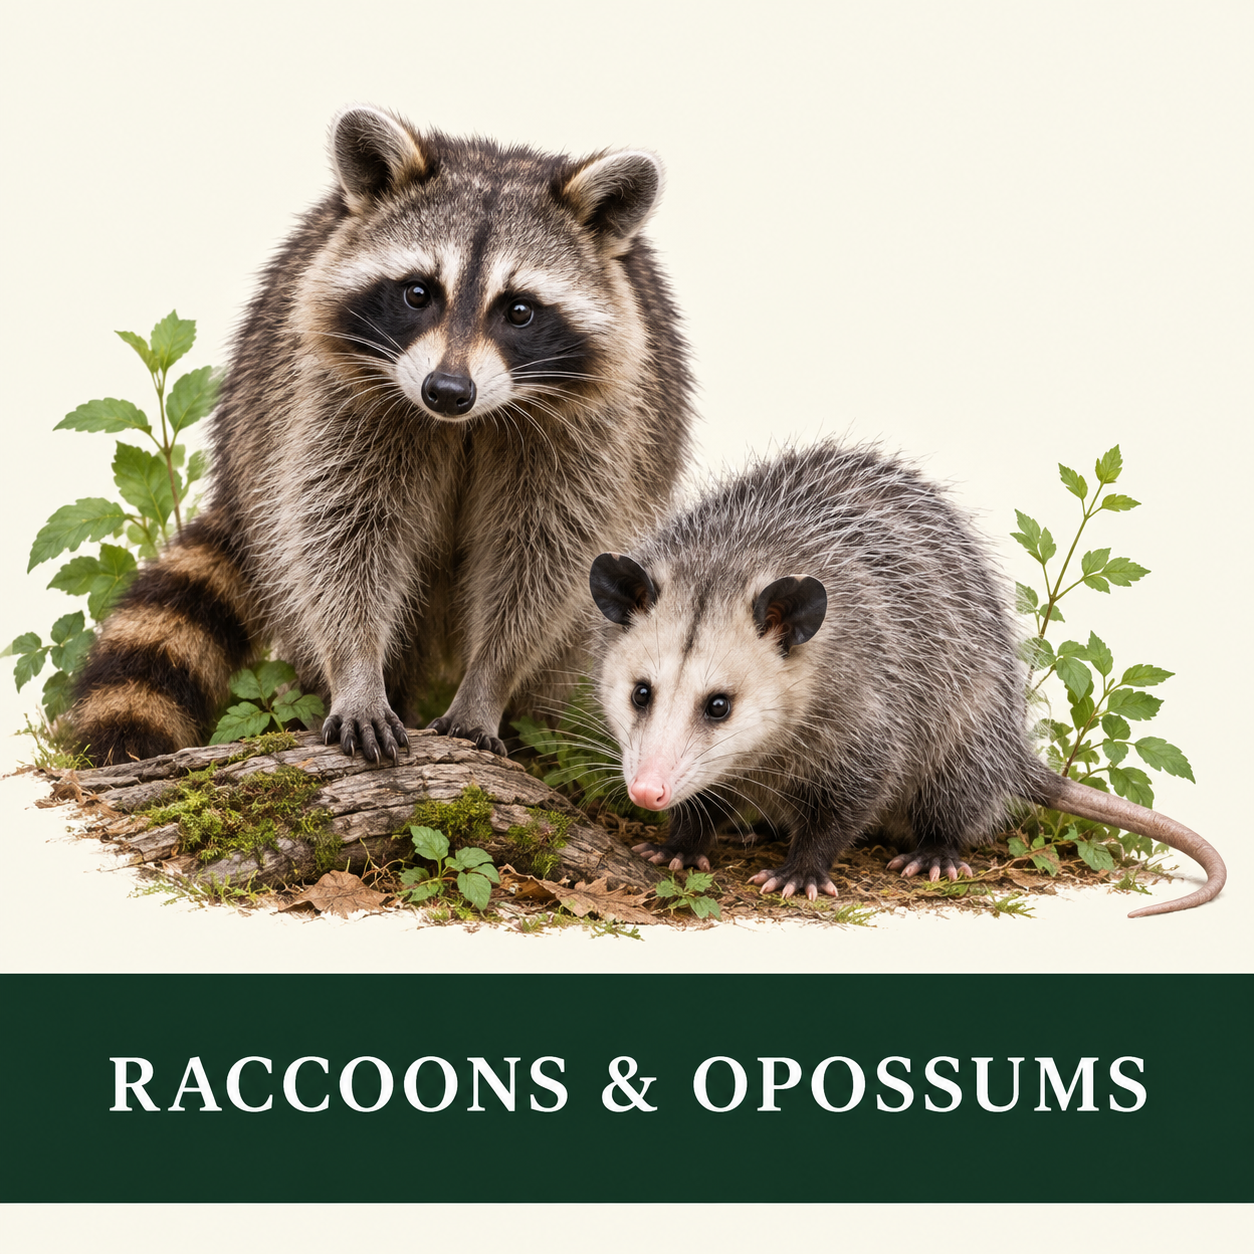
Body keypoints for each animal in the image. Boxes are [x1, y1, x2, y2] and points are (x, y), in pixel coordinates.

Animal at [73, 106, 693, 766]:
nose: (446, 391)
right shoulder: (335, 395)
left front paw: (488, 683)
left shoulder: (589, 431)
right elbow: (340, 534)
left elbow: (543, 563)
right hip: (259, 437)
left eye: (519, 310)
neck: (463, 423)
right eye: (418, 292)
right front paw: (358, 674)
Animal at [589, 442, 1225, 917]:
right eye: (640, 692)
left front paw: (801, 871)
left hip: (969, 730)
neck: (735, 557)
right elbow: (707, 803)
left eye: (719, 705)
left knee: (958, 794)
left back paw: (935, 852)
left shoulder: (870, 706)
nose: (646, 792)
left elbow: (853, 797)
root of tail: (1012, 747)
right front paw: (679, 844)